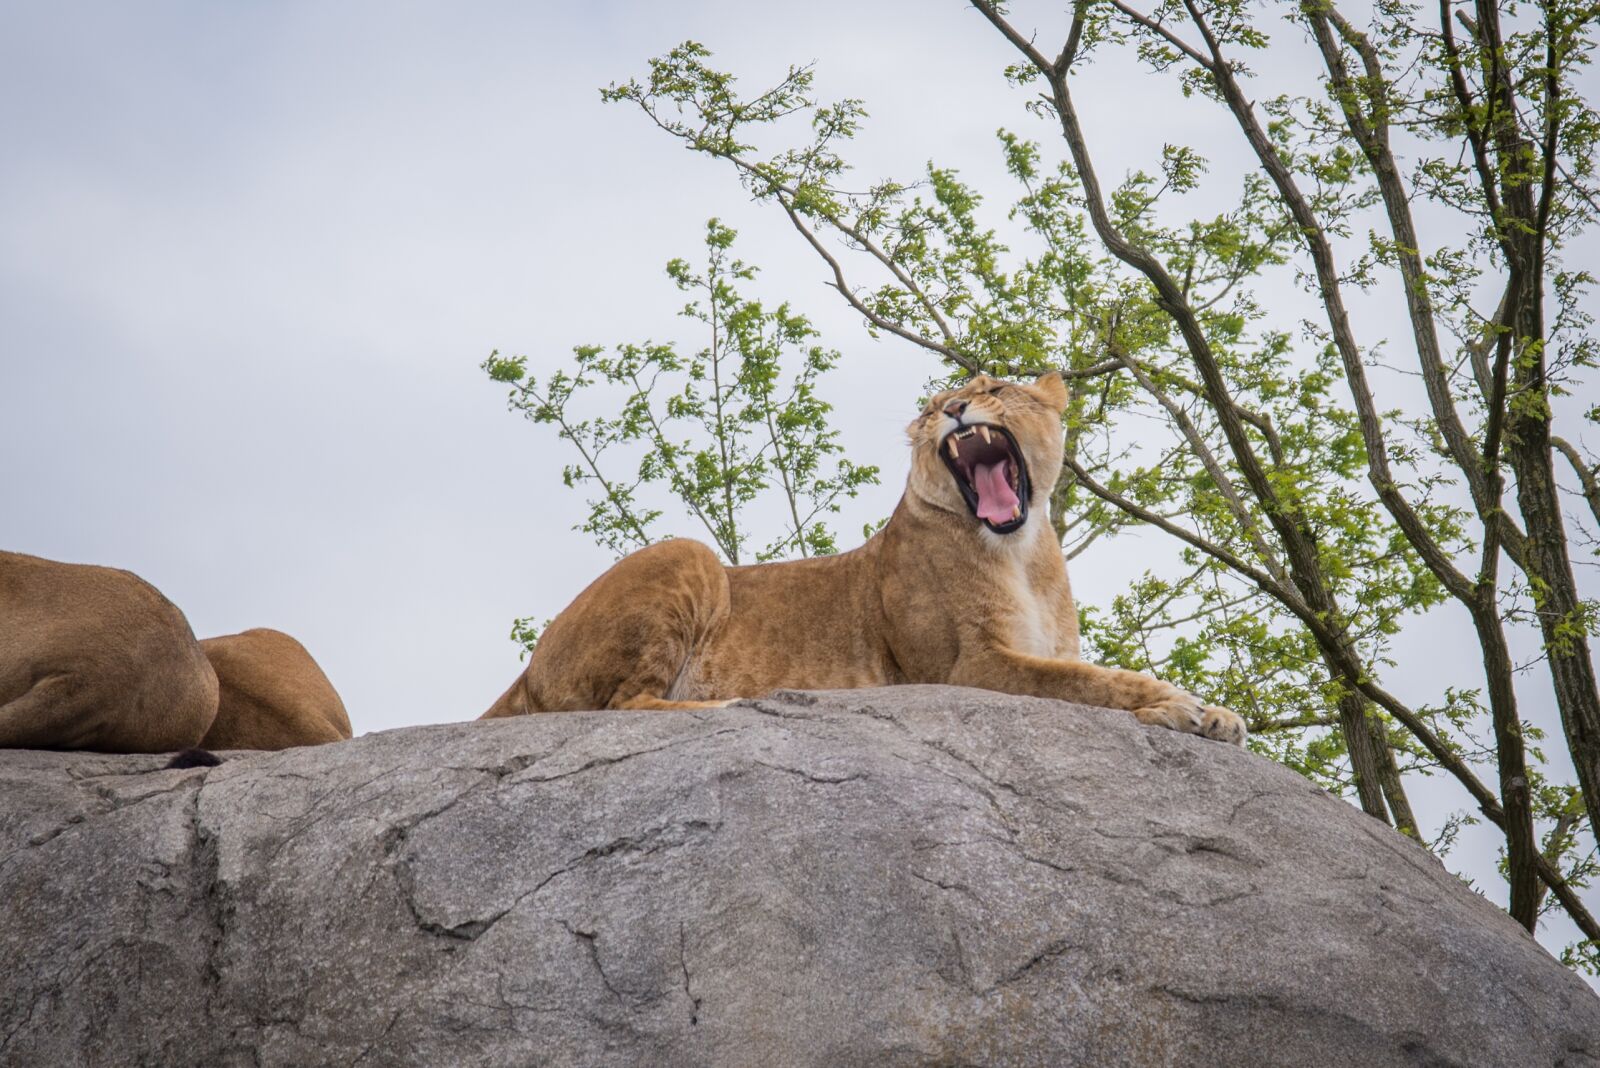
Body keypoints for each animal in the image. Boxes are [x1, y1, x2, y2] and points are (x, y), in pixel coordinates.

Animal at [483, 372, 1246, 745]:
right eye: (935, 406)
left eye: (995, 390)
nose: (957, 408)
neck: (1025, 551)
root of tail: (528, 666)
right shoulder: (967, 667)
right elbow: (1093, 683)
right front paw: (1179, 707)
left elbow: (1089, 675)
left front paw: (1216, 716)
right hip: (686, 552)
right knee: (625, 705)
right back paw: (729, 703)